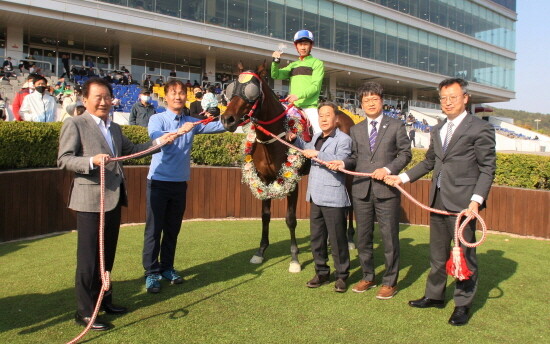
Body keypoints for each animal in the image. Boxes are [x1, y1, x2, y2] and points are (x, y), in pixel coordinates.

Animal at [221, 63, 356, 272]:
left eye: (251, 90)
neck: (274, 138)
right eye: (230, 88)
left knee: (349, 206)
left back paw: (349, 239)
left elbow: (290, 219)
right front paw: (260, 251)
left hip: (346, 174)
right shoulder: (264, 179)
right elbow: (265, 216)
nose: (227, 119)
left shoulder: (291, 182)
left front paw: (294, 259)